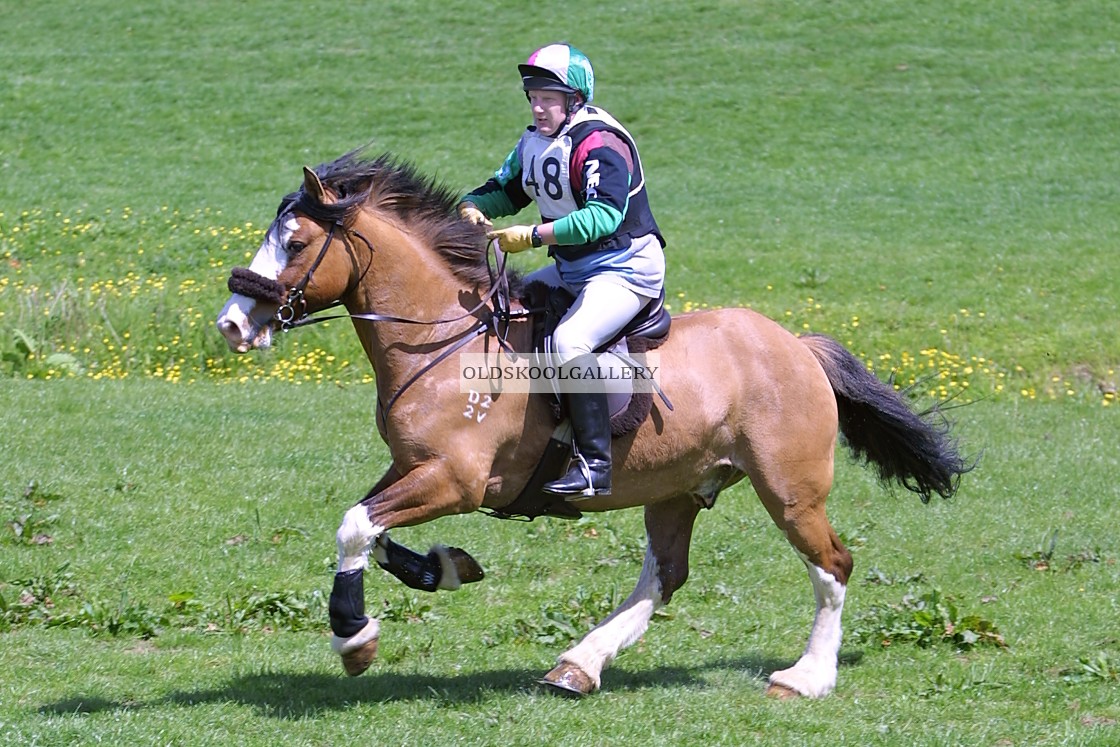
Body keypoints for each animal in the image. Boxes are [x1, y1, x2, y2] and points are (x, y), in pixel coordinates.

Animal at [216, 148, 972, 698]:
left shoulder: (455, 480)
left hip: (790, 489)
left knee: (832, 565)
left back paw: (807, 677)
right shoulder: (412, 467)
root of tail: (796, 344)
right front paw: (443, 569)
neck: (443, 339)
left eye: (295, 243)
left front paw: (354, 636)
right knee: (665, 576)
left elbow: (355, 526)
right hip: (676, 487)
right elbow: (366, 526)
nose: (231, 324)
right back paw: (579, 664)